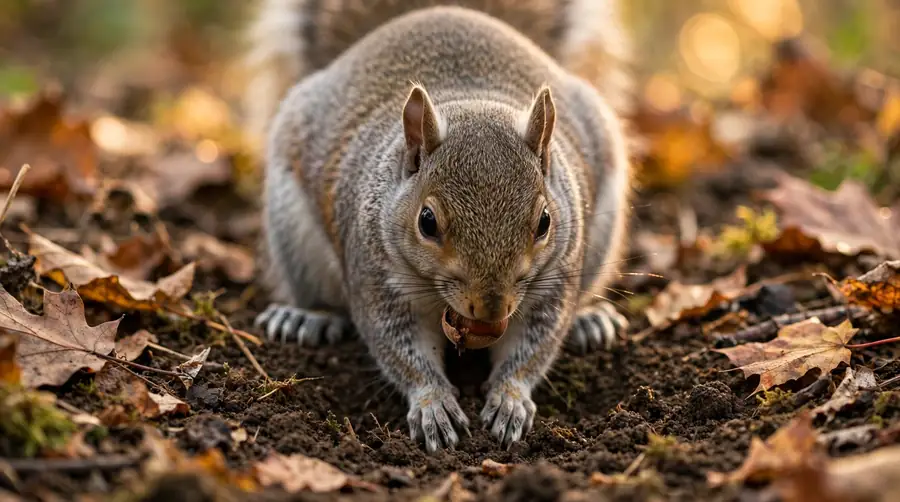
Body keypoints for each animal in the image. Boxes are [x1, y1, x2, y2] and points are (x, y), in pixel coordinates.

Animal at [243, 0, 635, 453]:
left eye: (544, 222)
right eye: (426, 222)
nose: (491, 306)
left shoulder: (554, 281)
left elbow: (533, 345)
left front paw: (510, 398)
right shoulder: (377, 280)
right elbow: (400, 349)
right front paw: (433, 404)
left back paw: (590, 319)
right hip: (293, 234)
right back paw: (308, 318)